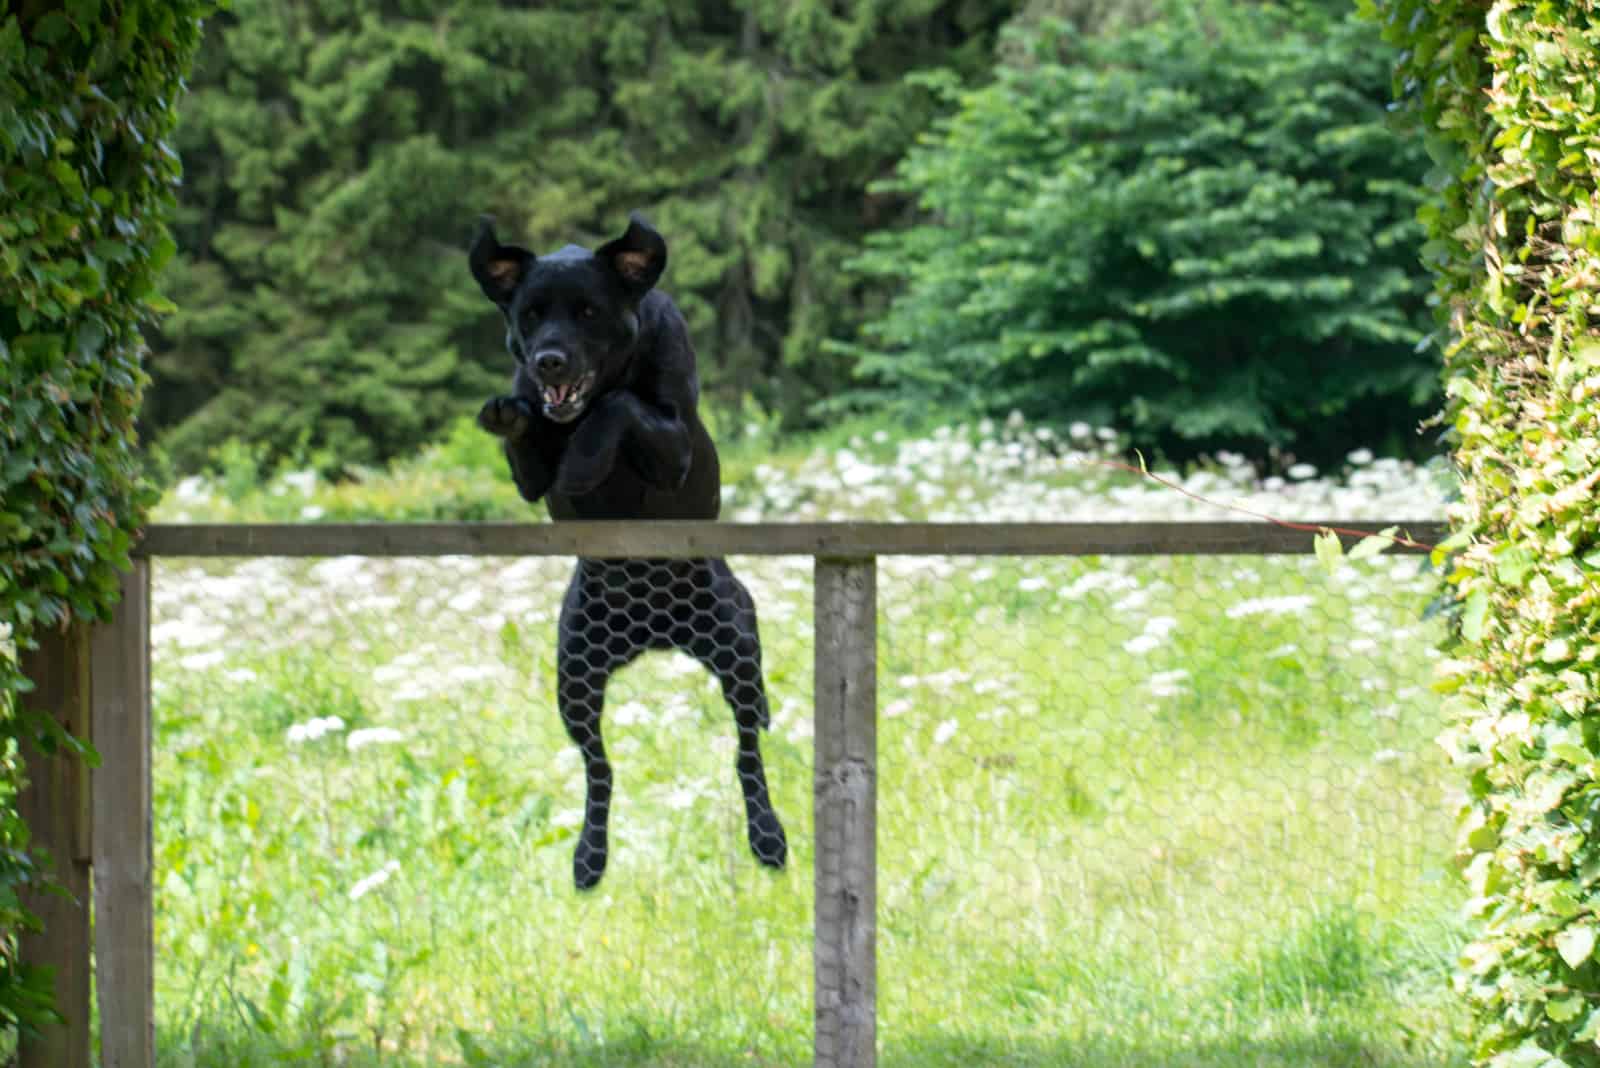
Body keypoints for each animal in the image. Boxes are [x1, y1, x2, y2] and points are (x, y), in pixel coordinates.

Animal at [467, 212, 790, 888]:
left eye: (589, 311)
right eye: (530, 315)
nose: (550, 360)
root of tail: (655, 634)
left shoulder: (674, 443)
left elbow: (616, 407)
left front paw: (583, 463)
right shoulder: (529, 468)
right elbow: (530, 432)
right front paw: (516, 416)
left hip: (738, 656)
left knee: (747, 752)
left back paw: (768, 837)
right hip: (575, 679)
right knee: (600, 770)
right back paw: (589, 857)